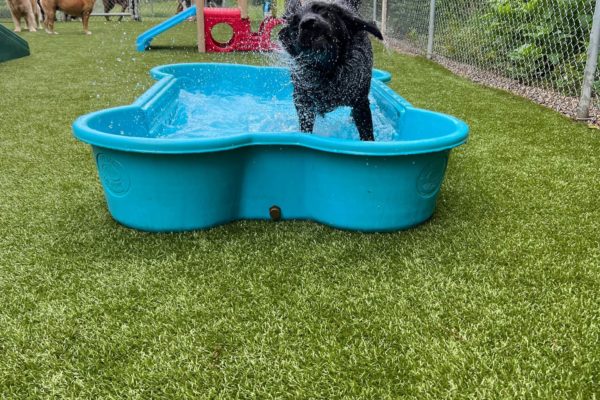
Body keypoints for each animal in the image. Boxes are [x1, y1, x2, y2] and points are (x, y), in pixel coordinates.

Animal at [278, 0, 382, 142]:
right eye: (295, 23)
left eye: (322, 10)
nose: (307, 22)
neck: (329, 70)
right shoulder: (303, 102)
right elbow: (305, 127)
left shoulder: (361, 103)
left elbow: (367, 134)